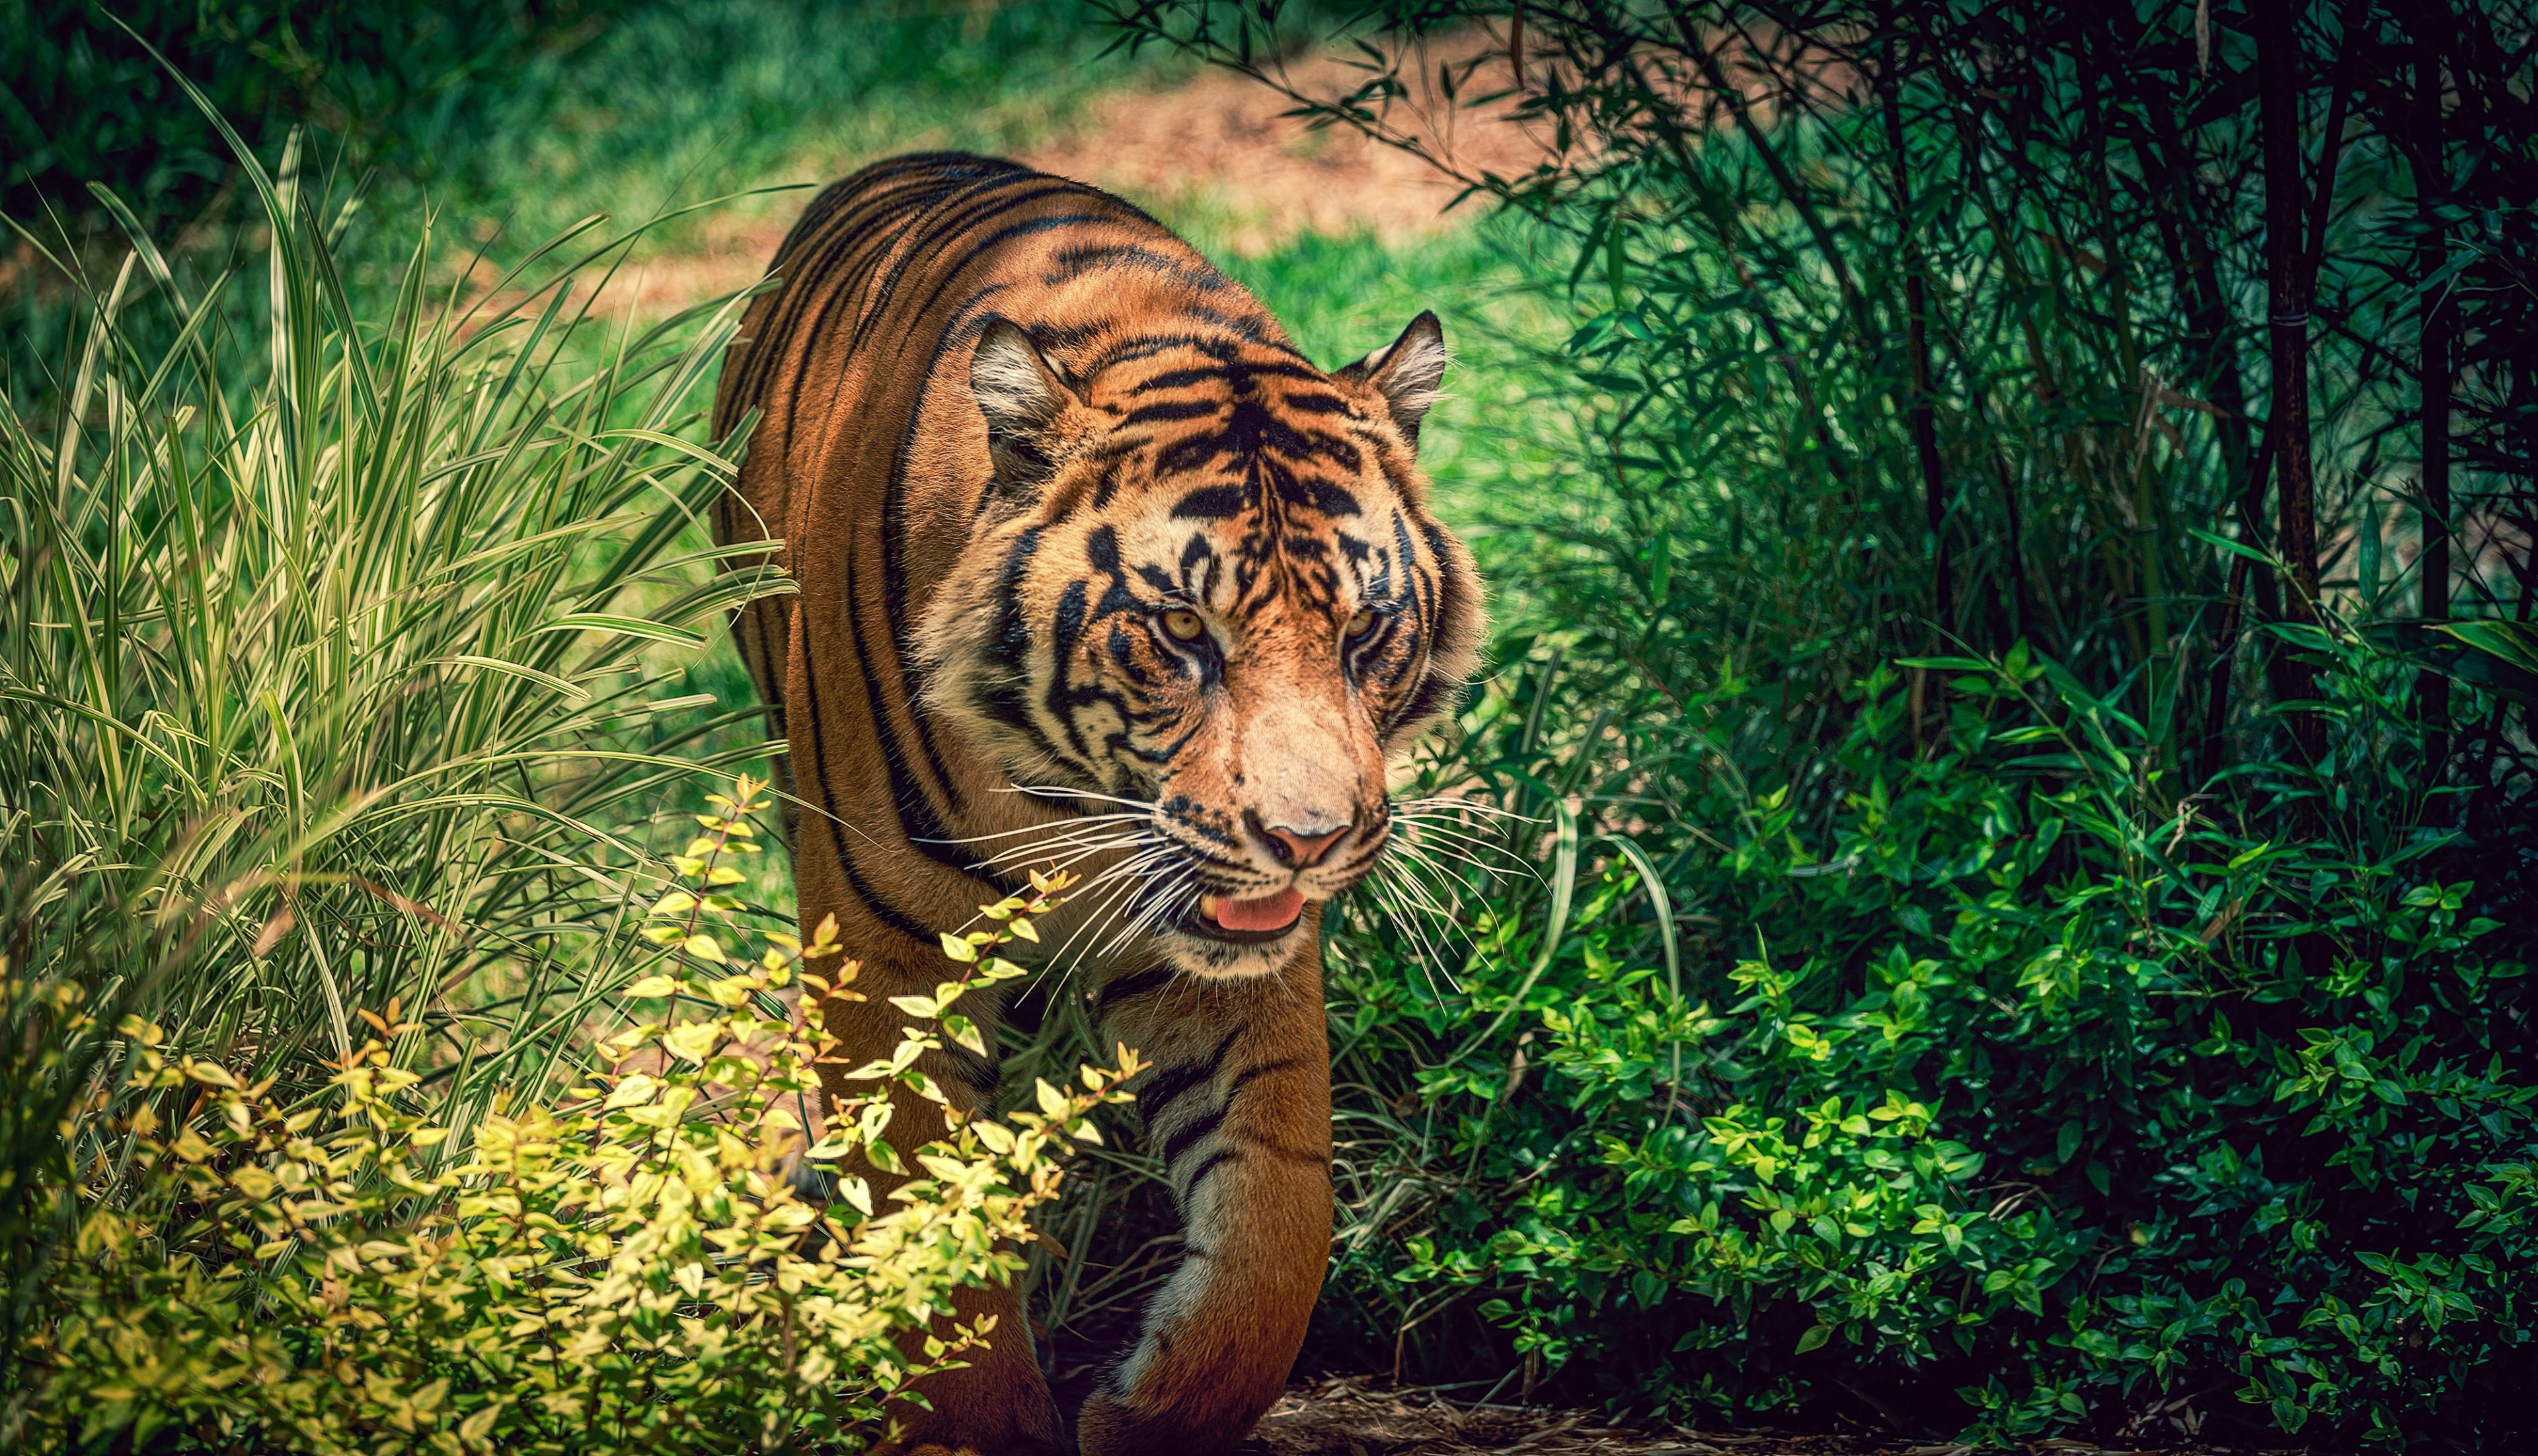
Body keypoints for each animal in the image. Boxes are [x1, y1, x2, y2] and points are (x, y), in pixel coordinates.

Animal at [710, 152, 1483, 1456]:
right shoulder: (886, 949)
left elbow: (1280, 1220)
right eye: (1182, 630)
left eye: (1365, 628)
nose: (1310, 843)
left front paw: (1151, 1407)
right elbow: (927, 1235)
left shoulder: (1237, 960)